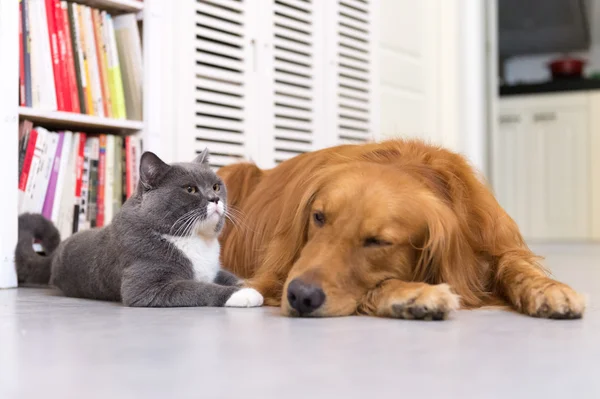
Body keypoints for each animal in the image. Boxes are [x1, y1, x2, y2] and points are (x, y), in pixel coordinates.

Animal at [15, 150, 264, 310]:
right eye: (190, 189)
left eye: (216, 186)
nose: (214, 198)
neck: (196, 241)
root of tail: (56, 253)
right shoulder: (147, 288)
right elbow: (200, 288)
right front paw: (245, 294)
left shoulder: (214, 269)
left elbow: (230, 276)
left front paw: (248, 285)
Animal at [217, 141, 584, 322]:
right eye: (318, 217)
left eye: (378, 241)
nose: (300, 296)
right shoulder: (274, 278)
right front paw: (414, 295)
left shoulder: (493, 242)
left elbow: (515, 265)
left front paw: (550, 289)